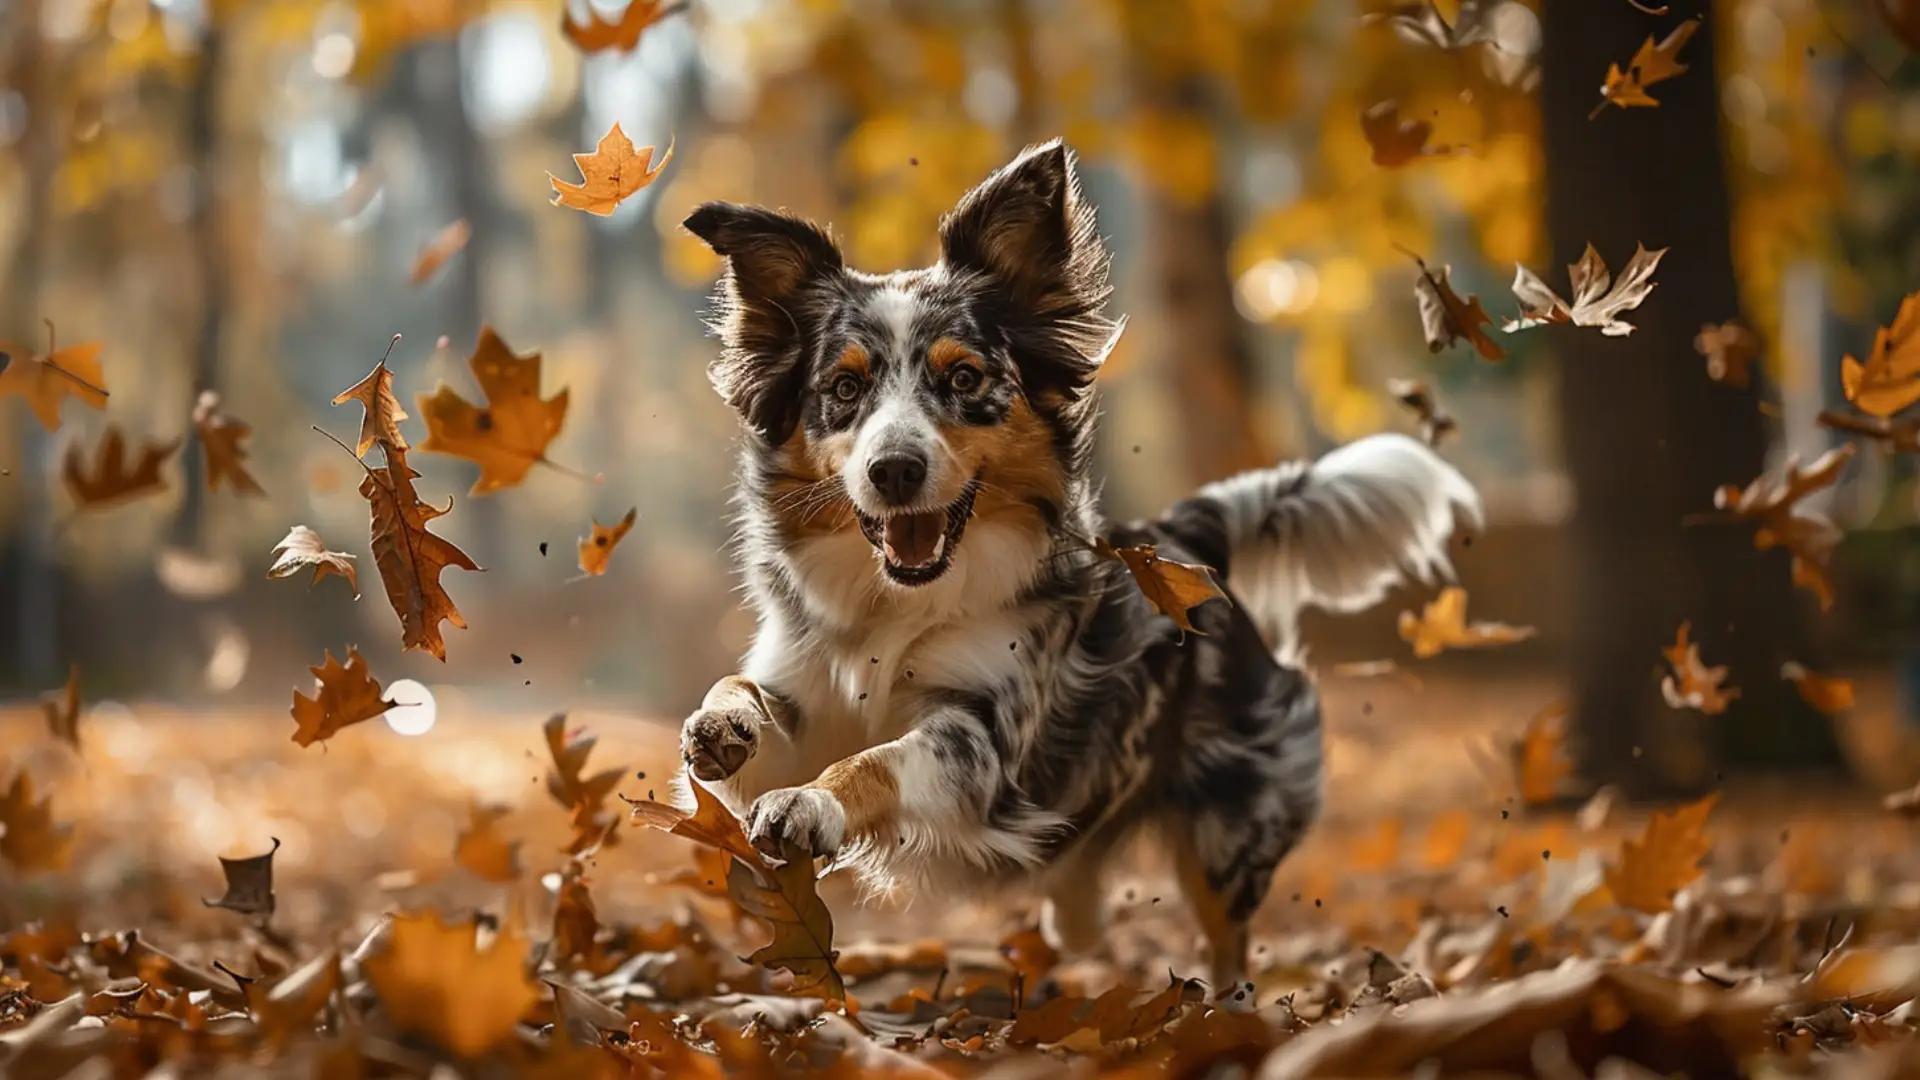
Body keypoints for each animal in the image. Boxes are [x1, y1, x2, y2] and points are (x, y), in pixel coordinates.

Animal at [679, 138, 1482, 980]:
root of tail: (1184, 535)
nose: (893, 470)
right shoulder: (802, 683)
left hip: (1226, 836)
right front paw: (722, 724)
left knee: (1227, 939)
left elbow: (877, 761)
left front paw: (813, 803)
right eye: (843, 387)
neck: (894, 608)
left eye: (964, 377)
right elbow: (744, 696)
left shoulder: (980, 739)